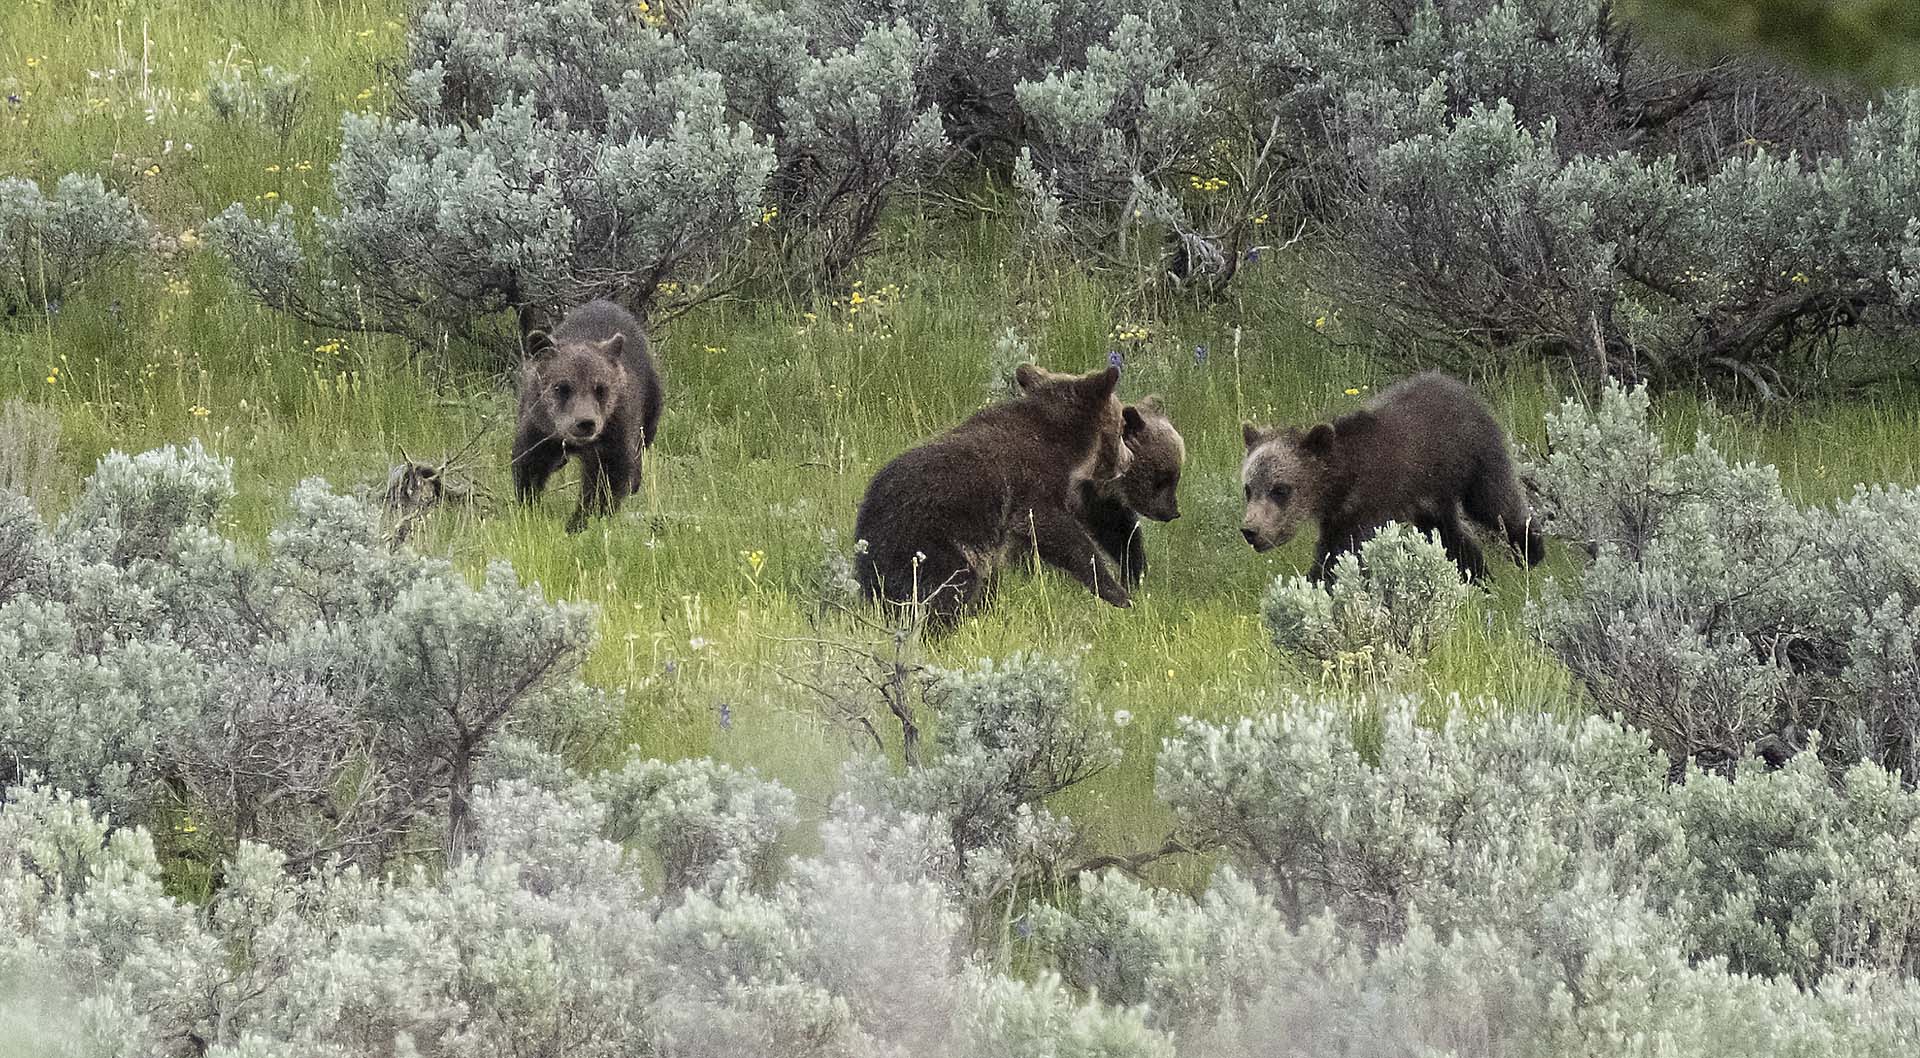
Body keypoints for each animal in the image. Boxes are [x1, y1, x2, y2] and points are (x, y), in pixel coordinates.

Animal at [514, 299, 664, 533]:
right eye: (561, 387)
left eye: (600, 388)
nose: (585, 423)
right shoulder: (539, 427)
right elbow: (529, 465)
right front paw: (531, 508)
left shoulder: (614, 432)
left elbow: (607, 480)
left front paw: (580, 521)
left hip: (650, 400)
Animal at [852, 366, 1121, 629]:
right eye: (1120, 428)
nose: (1123, 464)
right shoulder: (1031, 484)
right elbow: (1055, 529)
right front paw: (1115, 591)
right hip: (928, 540)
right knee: (947, 589)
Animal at [1006, 393, 1182, 591]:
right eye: (1162, 477)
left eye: (1176, 475)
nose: (1173, 512)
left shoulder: (1097, 501)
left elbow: (1119, 533)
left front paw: (1134, 576)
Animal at [1236, 372, 1551, 583]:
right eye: (1249, 488)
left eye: (1280, 489)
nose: (1251, 530)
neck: (1341, 482)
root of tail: (1459, 385)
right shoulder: (1340, 514)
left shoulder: (1366, 503)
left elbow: (1339, 556)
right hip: (1431, 492)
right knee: (1447, 533)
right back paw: (1478, 575)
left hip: (1475, 456)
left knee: (1494, 502)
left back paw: (1529, 550)